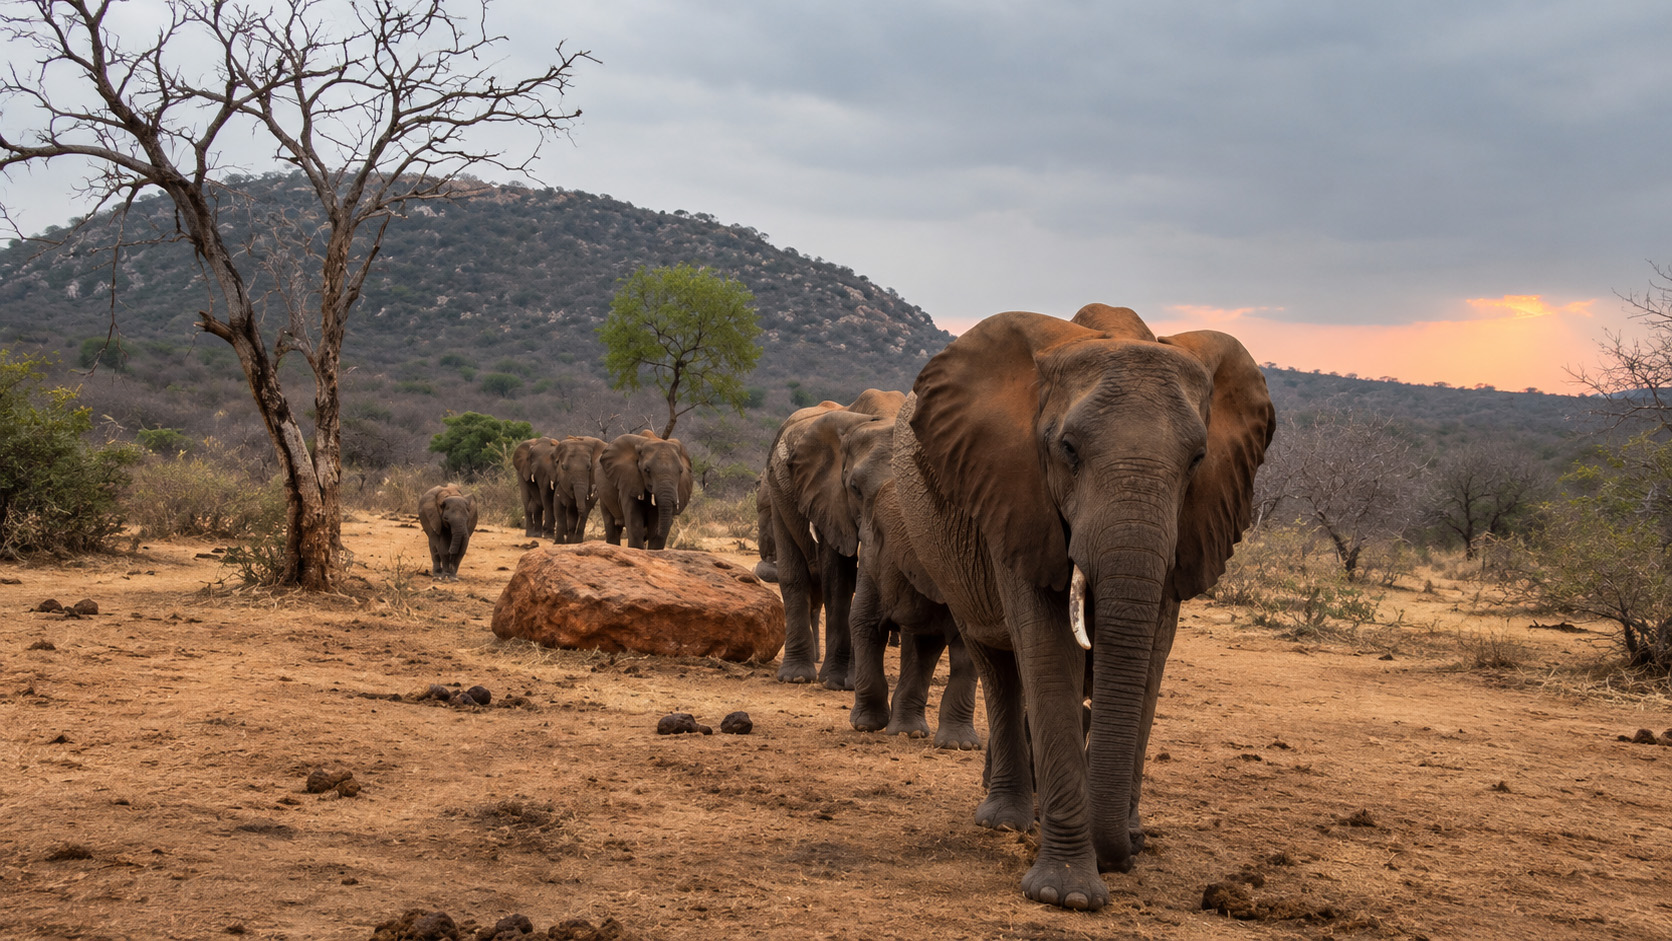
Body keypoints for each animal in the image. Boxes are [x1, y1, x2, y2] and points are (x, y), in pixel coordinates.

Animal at [759, 389, 904, 688]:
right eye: (855, 488)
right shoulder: (829, 498)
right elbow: (838, 577)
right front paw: (837, 682)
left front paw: (851, 682)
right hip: (777, 489)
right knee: (794, 574)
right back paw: (796, 676)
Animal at [840, 414, 981, 749]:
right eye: (854, 488)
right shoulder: (872, 551)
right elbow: (864, 622)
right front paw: (865, 726)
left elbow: (966, 649)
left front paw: (959, 746)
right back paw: (900, 730)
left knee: (925, 642)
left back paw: (910, 732)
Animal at [891, 304, 1274, 910]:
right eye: (1068, 451)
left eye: (1198, 460)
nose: (1126, 855)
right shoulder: (1014, 495)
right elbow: (1049, 654)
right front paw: (1066, 895)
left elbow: (1150, 660)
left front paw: (1127, 842)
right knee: (998, 666)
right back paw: (1006, 820)